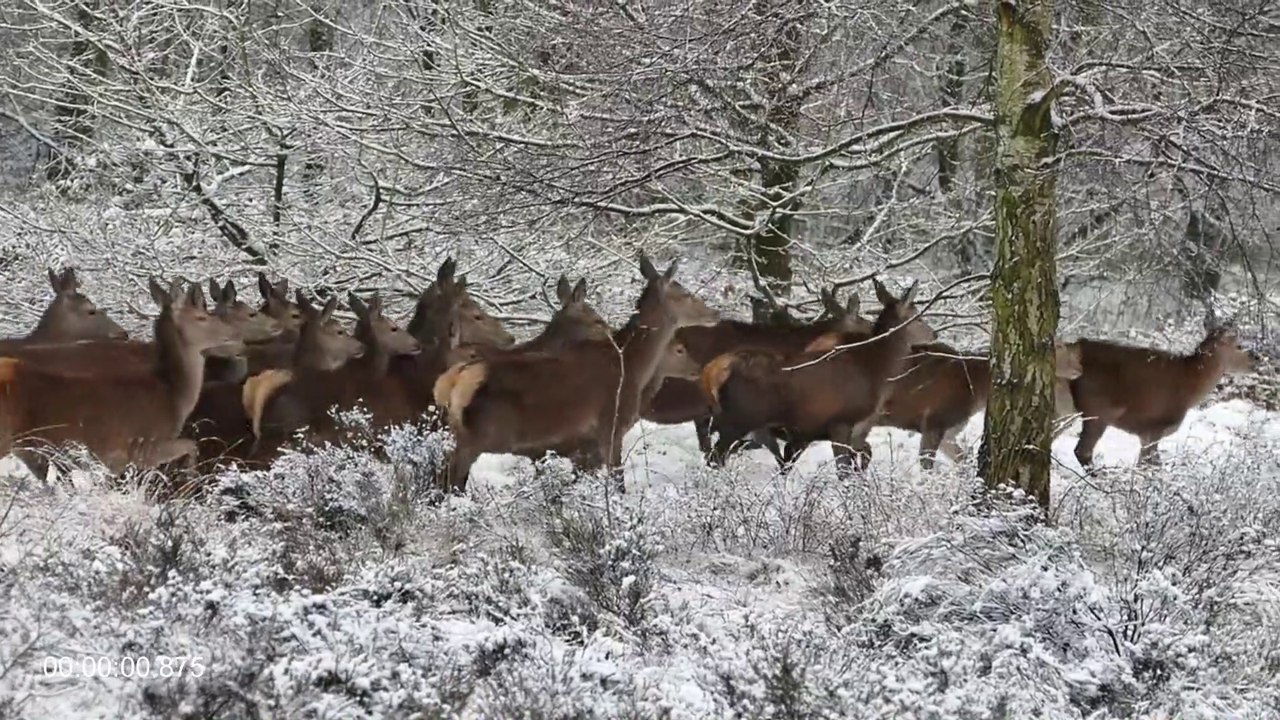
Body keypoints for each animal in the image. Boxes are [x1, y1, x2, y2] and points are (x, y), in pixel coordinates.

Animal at [0, 279, 244, 481]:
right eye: (202, 317)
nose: (235, 334)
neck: (173, 396)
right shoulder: (145, 446)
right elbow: (191, 446)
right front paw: (189, 476)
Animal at [438, 255, 720, 493]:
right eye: (685, 293)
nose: (715, 313)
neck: (632, 367)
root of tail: (456, 379)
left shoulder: (584, 443)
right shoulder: (610, 426)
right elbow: (618, 480)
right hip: (479, 435)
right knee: (450, 476)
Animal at [699, 278, 935, 480]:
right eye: (919, 316)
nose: (934, 334)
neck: (876, 370)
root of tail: (712, 372)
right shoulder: (840, 421)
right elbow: (843, 470)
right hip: (740, 417)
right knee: (714, 457)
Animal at [1068, 323, 1256, 472]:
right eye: (1239, 345)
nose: (1257, 358)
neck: (1190, 387)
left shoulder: (1145, 433)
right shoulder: (1155, 425)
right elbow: (1149, 465)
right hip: (1098, 410)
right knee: (1082, 451)